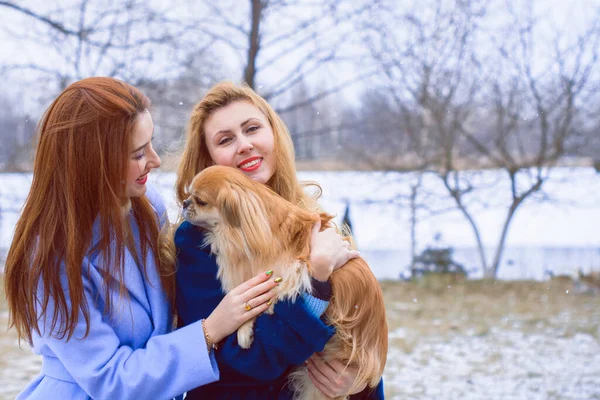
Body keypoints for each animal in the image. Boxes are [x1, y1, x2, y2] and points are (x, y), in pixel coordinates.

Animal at [183, 164, 390, 398]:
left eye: (200, 201)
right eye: (189, 195)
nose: (185, 203)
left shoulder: (291, 271)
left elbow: (268, 298)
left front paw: (248, 326)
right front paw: (244, 329)